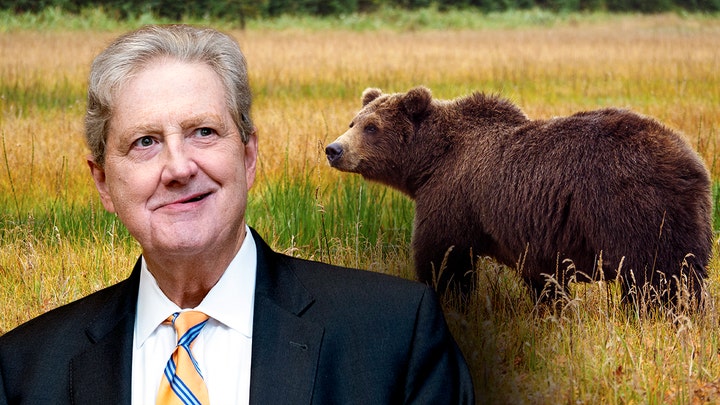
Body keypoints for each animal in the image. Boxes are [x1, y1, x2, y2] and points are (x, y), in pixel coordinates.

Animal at [325, 86, 713, 310]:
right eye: (353, 122)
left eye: (371, 127)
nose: (333, 149)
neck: (429, 162)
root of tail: (689, 160)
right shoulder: (535, 243)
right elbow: (546, 283)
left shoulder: (451, 198)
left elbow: (443, 258)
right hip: (686, 217)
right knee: (685, 276)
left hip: (632, 209)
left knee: (655, 279)